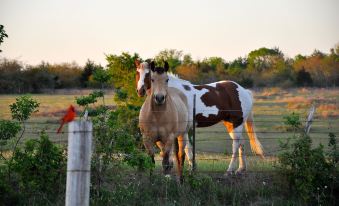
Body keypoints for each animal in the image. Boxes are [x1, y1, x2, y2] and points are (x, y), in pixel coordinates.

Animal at [136, 60, 266, 175]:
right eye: (137, 72)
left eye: (148, 74)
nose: (140, 90)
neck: (176, 93)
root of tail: (243, 90)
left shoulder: (184, 129)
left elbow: (186, 148)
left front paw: (190, 168)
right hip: (230, 124)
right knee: (241, 143)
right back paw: (241, 169)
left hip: (236, 123)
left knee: (235, 145)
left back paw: (229, 170)